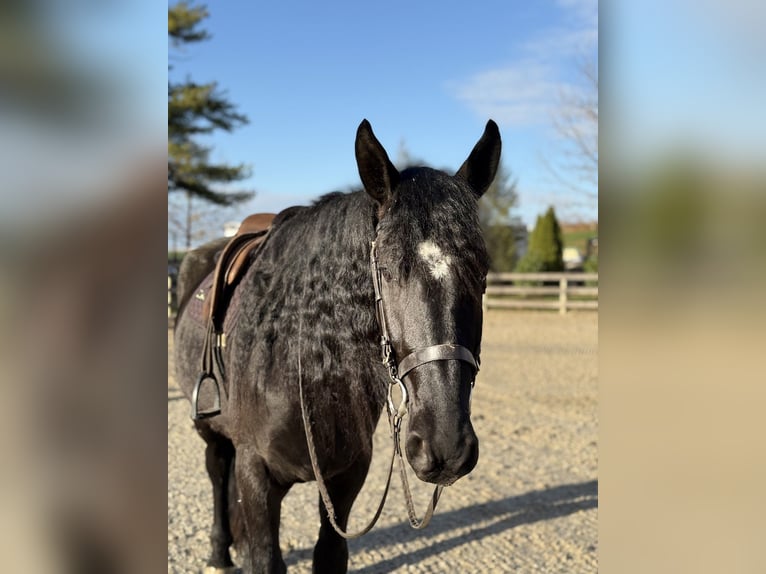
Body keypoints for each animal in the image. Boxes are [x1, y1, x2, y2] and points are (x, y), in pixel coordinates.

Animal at [173, 119, 501, 573]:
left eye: (481, 270)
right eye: (385, 268)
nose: (445, 445)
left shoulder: (346, 479)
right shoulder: (256, 475)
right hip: (208, 430)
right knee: (217, 470)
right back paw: (220, 553)